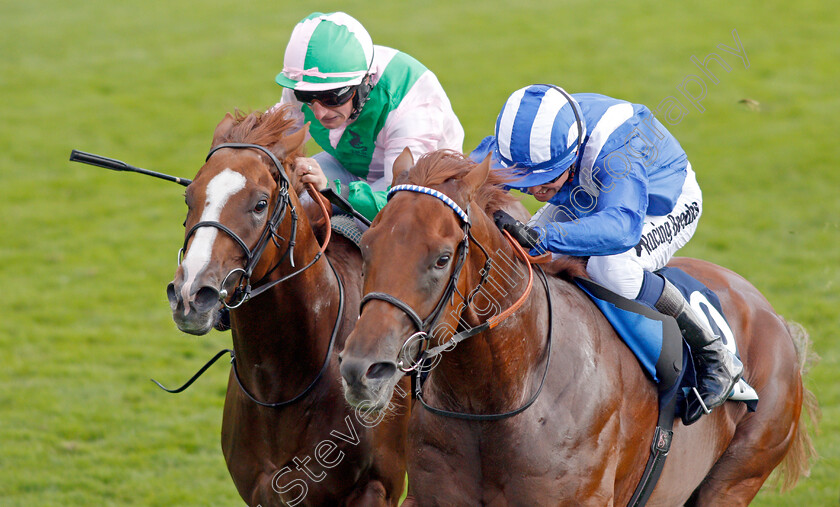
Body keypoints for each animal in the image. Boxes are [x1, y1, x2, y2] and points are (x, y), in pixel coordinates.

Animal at [165, 105, 410, 506]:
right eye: (189, 198)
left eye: (260, 203)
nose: (190, 295)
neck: (281, 384)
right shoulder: (261, 489)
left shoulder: (376, 488)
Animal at [338, 151, 816, 507]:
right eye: (368, 245)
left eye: (441, 258)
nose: (362, 370)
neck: (494, 396)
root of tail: (772, 317)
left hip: (736, 477)